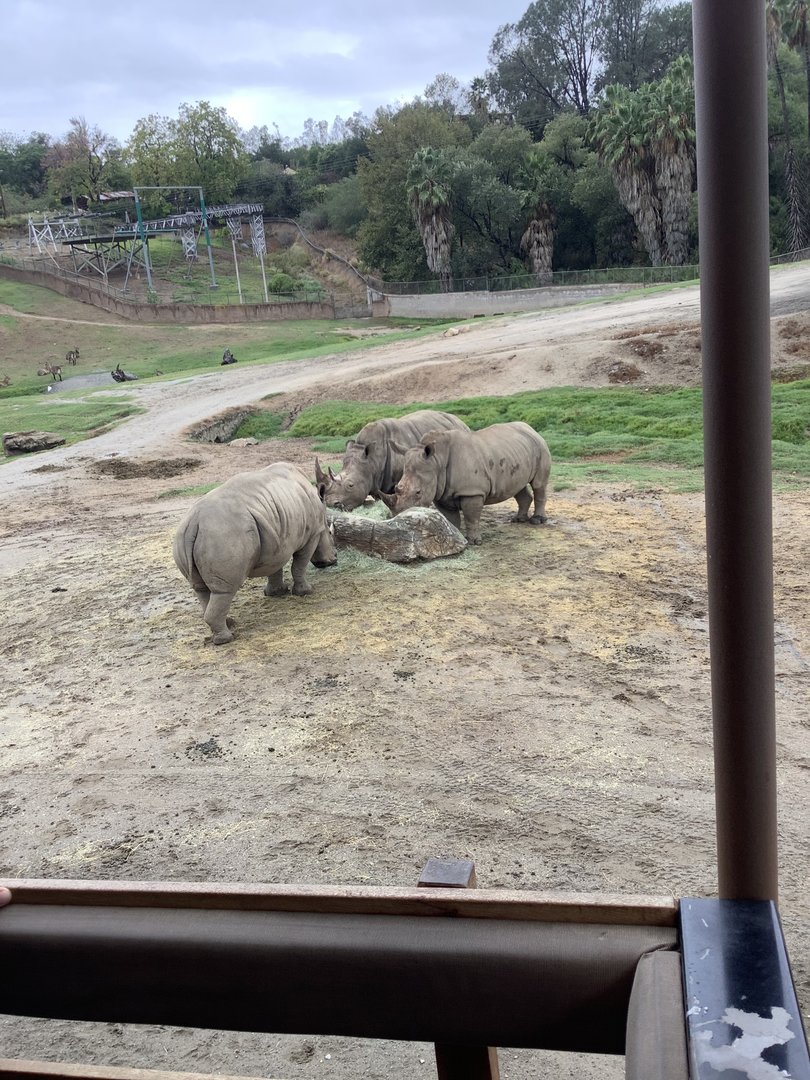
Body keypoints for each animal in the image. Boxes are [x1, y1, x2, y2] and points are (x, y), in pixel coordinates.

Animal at [173, 462, 337, 645]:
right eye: (330, 533)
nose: (334, 559)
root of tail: (194, 522)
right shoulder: (312, 535)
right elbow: (299, 565)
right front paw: (306, 592)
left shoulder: (277, 538)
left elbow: (275, 567)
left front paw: (276, 593)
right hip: (223, 535)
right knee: (225, 590)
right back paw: (226, 639)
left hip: (183, 540)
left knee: (202, 590)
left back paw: (229, 623)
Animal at [379, 421, 551, 545]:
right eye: (397, 488)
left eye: (418, 492)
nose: (399, 520)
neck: (437, 461)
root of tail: (531, 428)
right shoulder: (442, 493)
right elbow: (451, 518)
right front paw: (456, 536)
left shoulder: (472, 491)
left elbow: (471, 516)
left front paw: (474, 542)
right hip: (516, 453)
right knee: (518, 487)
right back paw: (518, 520)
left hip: (540, 446)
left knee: (539, 485)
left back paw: (536, 521)